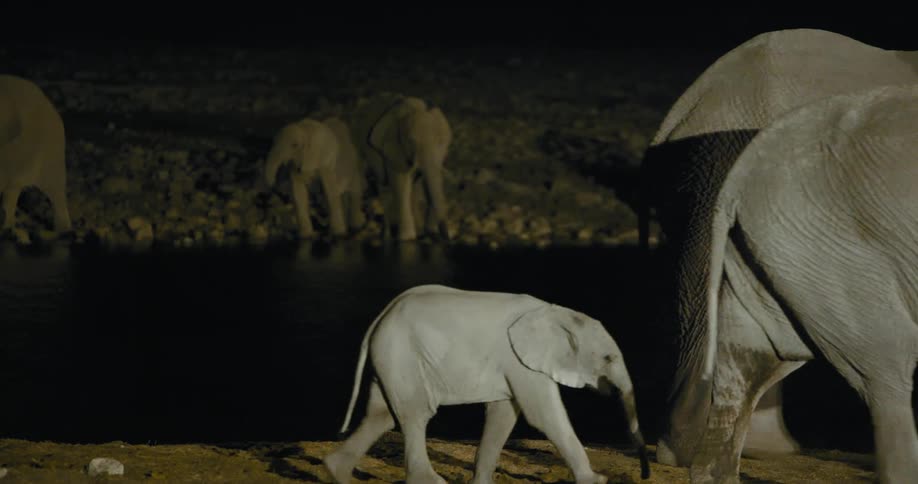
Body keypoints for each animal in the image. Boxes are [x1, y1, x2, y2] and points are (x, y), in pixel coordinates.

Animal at [323, 284, 650, 484]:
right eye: (608, 358)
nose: (645, 475)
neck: (557, 312)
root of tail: (381, 317)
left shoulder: (515, 364)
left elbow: (503, 415)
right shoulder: (519, 360)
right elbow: (543, 416)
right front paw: (597, 481)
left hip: (391, 359)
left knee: (381, 416)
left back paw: (334, 473)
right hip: (401, 354)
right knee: (415, 414)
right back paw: (430, 481)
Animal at [348, 93, 452, 242]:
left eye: (440, 142)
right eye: (411, 141)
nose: (447, 239)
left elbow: (427, 182)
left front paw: (426, 232)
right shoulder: (394, 147)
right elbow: (401, 181)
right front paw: (407, 239)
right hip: (355, 137)